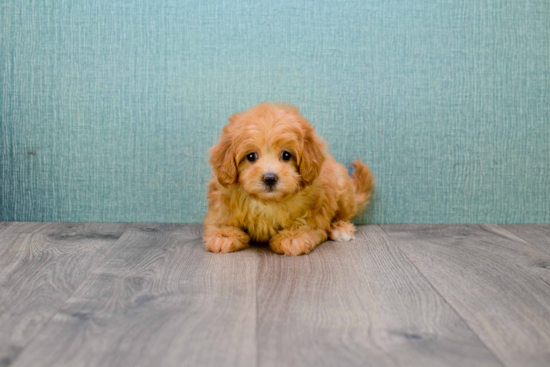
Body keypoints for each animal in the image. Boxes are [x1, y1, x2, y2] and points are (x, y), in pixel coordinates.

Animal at [203, 102, 376, 258]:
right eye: (251, 156)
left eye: (286, 155)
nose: (270, 178)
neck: (268, 202)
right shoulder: (221, 205)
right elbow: (217, 222)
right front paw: (223, 235)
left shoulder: (315, 210)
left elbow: (307, 226)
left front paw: (293, 237)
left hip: (342, 187)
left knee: (345, 214)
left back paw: (341, 228)